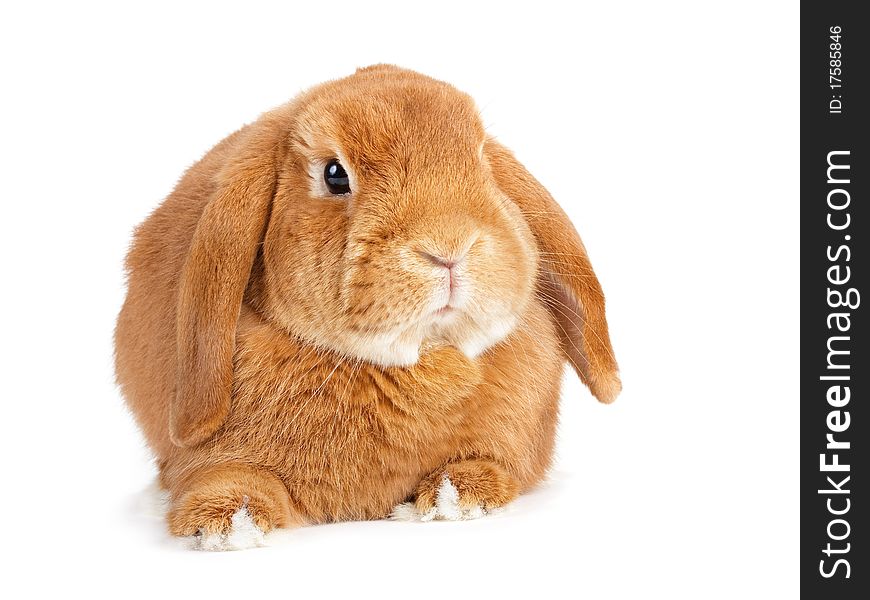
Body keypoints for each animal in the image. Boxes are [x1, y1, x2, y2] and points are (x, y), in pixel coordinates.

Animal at [114, 64, 620, 548]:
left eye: (481, 161)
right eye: (335, 174)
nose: (449, 245)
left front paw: (459, 494)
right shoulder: (207, 457)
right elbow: (227, 476)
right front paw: (227, 523)